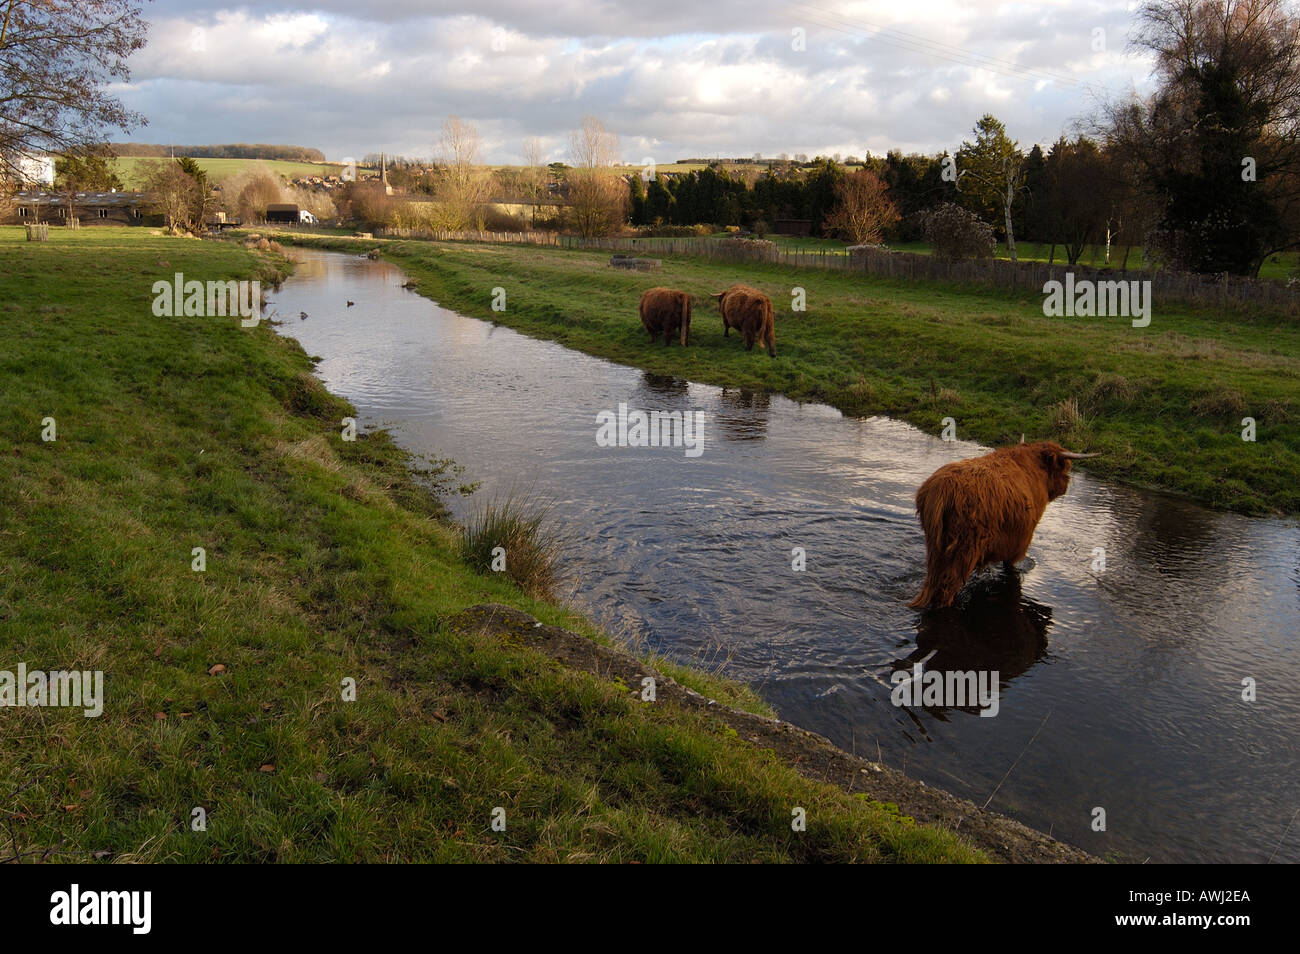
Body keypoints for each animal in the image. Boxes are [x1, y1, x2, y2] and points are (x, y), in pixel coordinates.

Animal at [909, 440, 1099, 609]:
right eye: (1064, 467)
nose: (1065, 485)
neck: (1034, 472)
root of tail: (941, 488)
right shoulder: (1020, 540)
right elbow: (1010, 566)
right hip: (963, 550)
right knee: (946, 590)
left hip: (935, 548)